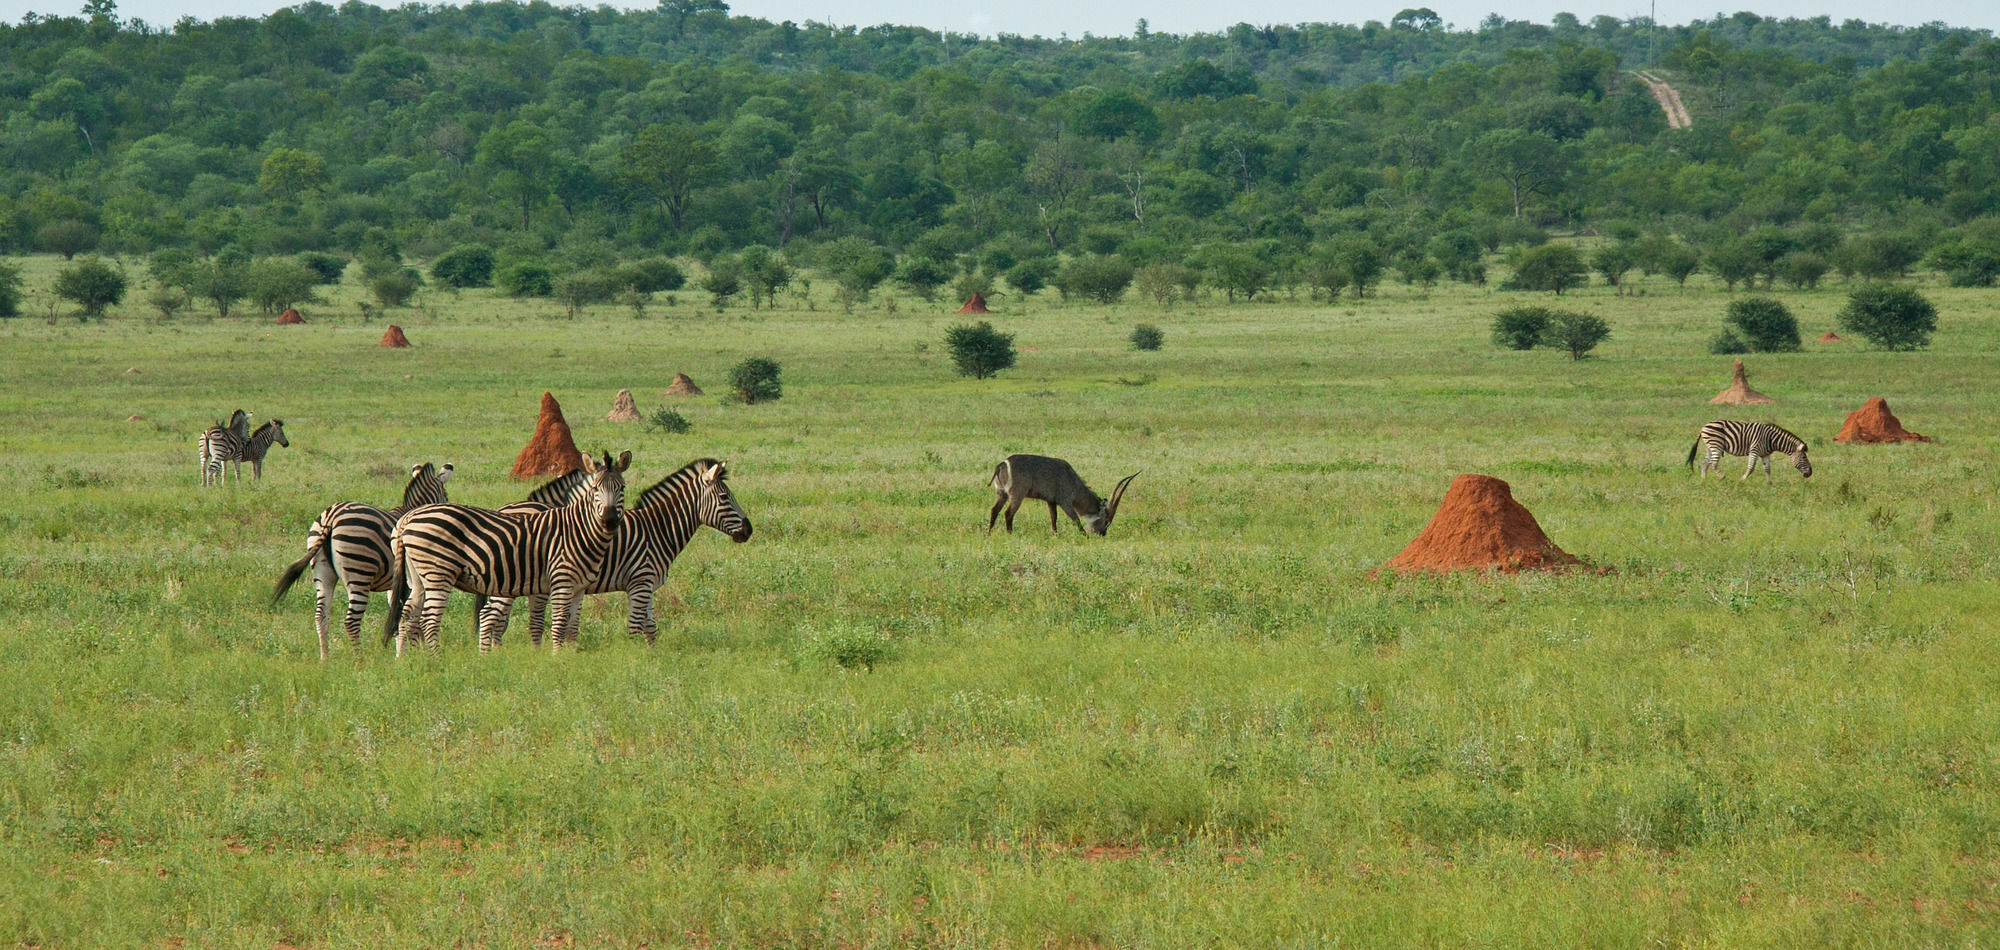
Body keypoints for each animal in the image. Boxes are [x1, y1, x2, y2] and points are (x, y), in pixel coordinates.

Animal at [274, 462, 454, 660]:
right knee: (351, 621)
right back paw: (359, 660)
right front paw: (413, 653)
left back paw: (325, 659)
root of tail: (331, 517)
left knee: (321, 615)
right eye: (446, 496)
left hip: (322, 571)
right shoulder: (408, 584)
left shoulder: (395, 586)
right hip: (359, 571)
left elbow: (397, 613)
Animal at [386, 452, 628, 656]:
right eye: (595, 489)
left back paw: (406, 659)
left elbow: (572, 625)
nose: (610, 521)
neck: (577, 528)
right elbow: (555, 622)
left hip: (418, 577)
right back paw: (436, 659)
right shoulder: (559, 581)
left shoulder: (577, 587)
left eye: (622, 488)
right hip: (439, 573)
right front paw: (555, 658)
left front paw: (569, 656)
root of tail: (409, 518)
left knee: (407, 615)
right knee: (429, 620)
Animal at [478, 460, 756, 648]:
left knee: (497, 620)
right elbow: (635, 626)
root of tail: (504, 508)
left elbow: (651, 627)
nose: (748, 530)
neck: (657, 529)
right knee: (489, 616)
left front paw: (652, 657)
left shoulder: (647, 584)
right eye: (724, 496)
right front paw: (632, 660)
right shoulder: (640, 582)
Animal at [988, 458, 1144, 540]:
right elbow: (1076, 520)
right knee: (1008, 513)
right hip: (1017, 495)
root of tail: (1003, 463)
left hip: (1001, 494)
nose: (1102, 535)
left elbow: (1053, 519)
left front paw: (1055, 536)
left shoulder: (1051, 501)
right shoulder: (1065, 502)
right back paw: (1010, 534)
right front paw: (1085, 537)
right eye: (1106, 521)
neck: (1073, 480)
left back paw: (988, 534)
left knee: (994, 511)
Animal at [1688, 420, 1816, 480]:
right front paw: (1741, 480)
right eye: (1804, 457)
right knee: (1713, 463)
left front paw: (1769, 484)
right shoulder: (1755, 450)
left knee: (1705, 463)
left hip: (1710, 447)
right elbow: (1750, 468)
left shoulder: (1765, 454)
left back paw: (1704, 480)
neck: (1771, 440)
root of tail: (1703, 427)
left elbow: (1768, 469)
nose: (1810, 473)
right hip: (1716, 445)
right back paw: (1722, 477)